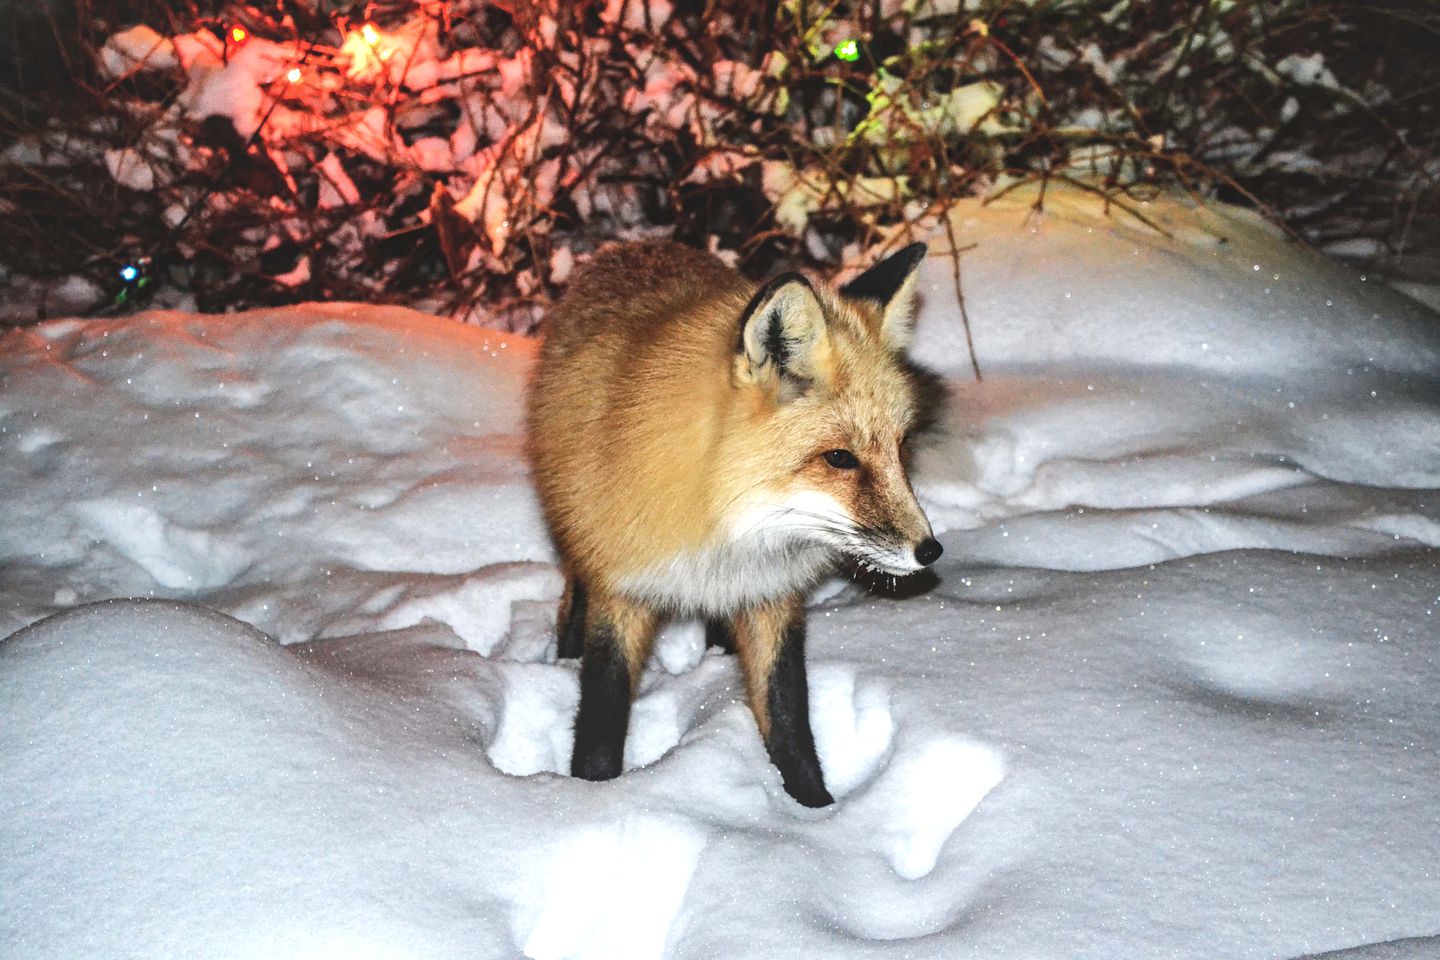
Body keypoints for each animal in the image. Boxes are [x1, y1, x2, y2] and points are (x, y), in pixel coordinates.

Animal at [529, 241, 944, 811]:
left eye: (901, 450)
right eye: (839, 458)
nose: (930, 551)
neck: (727, 528)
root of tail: (634, 247)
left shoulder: (771, 597)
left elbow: (789, 716)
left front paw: (815, 811)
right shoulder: (622, 590)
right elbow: (602, 712)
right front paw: (589, 794)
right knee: (573, 591)